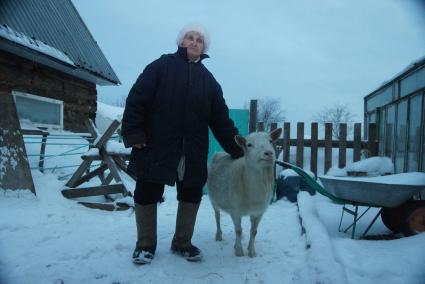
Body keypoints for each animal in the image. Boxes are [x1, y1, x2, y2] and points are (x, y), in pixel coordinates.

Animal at [206, 129, 280, 258]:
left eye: (271, 141)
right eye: (249, 144)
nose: (268, 153)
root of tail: (219, 152)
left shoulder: (259, 212)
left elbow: (254, 231)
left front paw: (251, 252)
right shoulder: (235, 210)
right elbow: (238, 230)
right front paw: (239, 252)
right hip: (213, 199)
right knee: (217, 216)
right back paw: (219, 235)